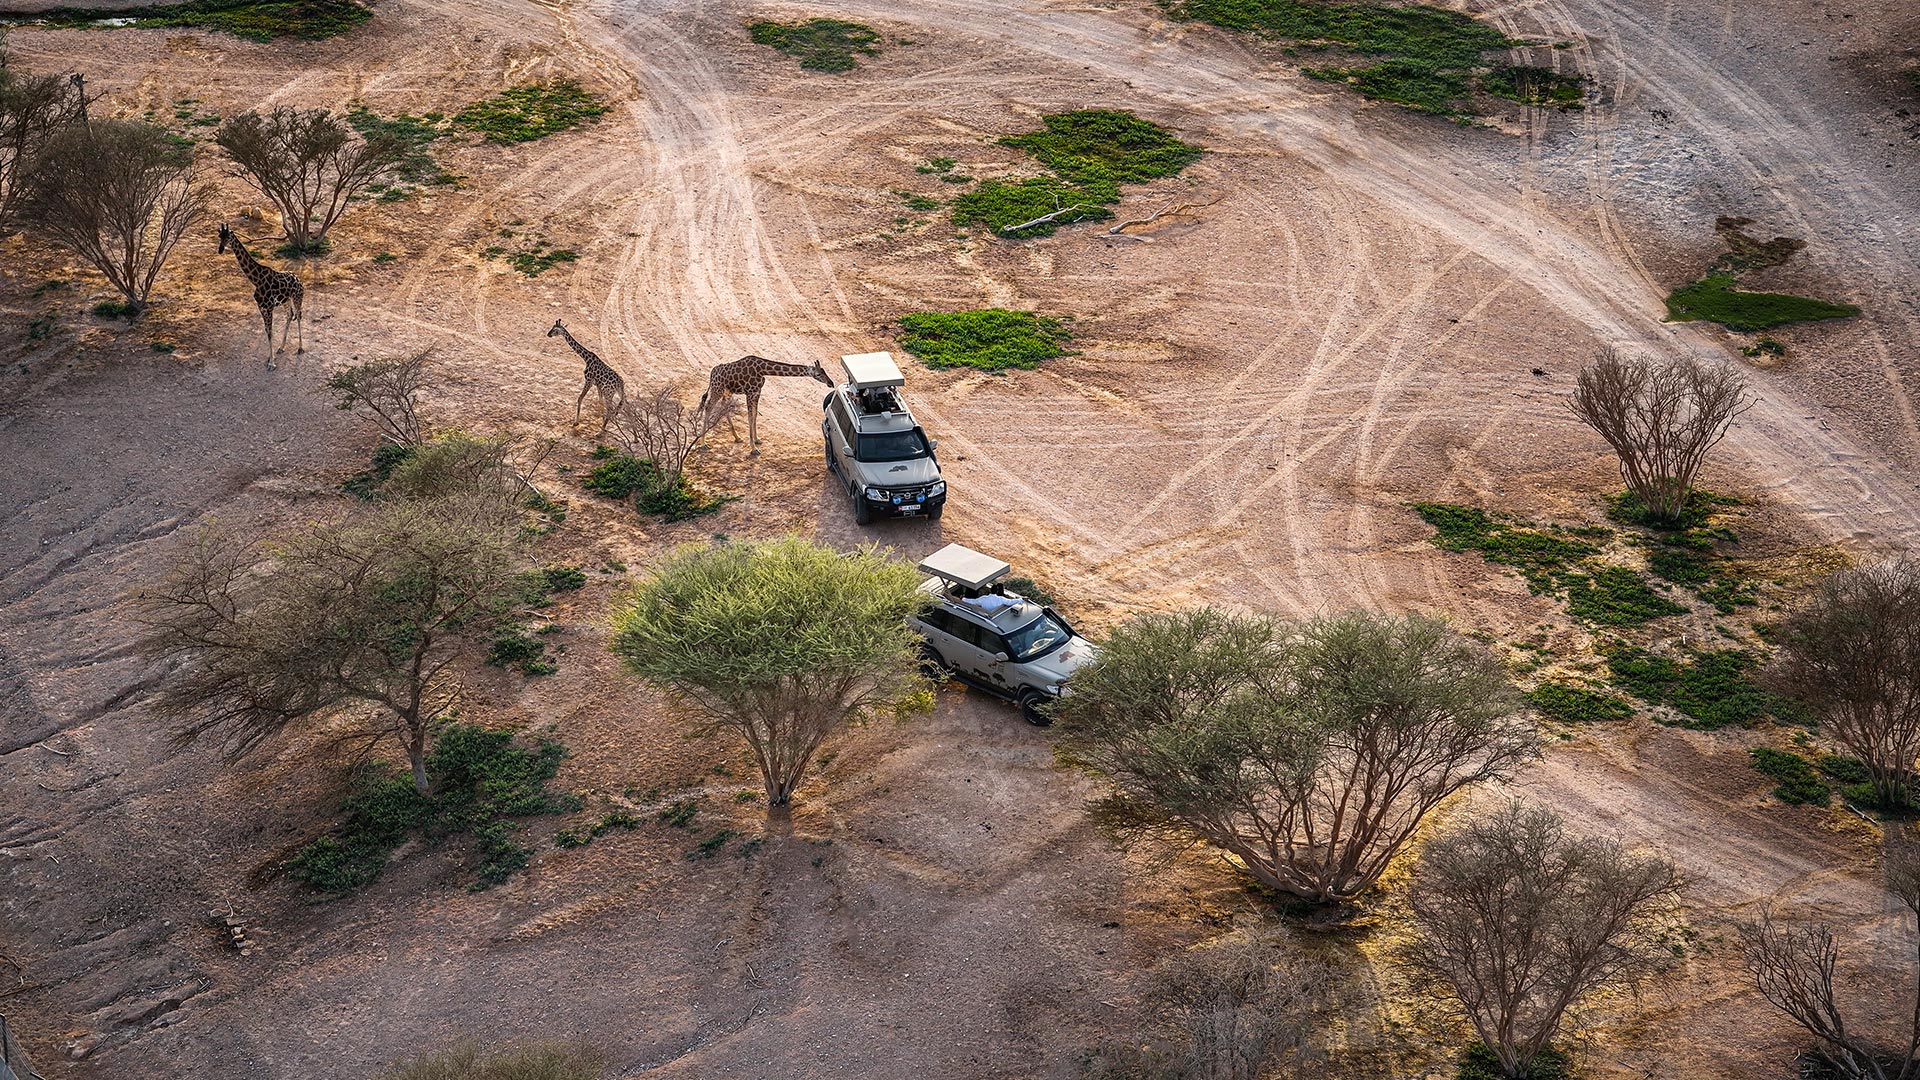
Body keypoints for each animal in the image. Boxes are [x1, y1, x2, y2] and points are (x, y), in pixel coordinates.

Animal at [217, 223, 303, 370]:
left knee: (298, 316)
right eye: (219, 236)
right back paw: (281, 347)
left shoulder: (269, 307)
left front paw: (271, 363)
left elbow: (270, 332)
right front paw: (270, 357)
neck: (256, 280)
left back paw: (300, 348)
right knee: (290, 315)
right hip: (286, 300)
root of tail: (299, 280)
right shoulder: (261, 307)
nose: (220, 250)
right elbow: (267, 330)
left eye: (227, 237)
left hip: (298, 297)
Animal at [698, 355, 833, 454]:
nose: (831, 383)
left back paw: (737, 437)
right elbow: (750, 417)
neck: (763, 370)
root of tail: (712, 372)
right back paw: (703, 443)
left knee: (723, 406)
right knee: (708, 406)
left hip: (727, 391)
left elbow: (755, 415)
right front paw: (754, 449)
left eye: (825, 371)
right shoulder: (749, 392)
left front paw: (757, 440)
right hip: (717, 389)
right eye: (818, 374)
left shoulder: (757, 392)